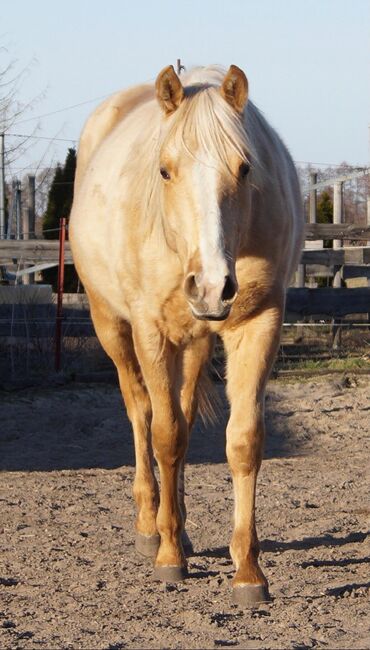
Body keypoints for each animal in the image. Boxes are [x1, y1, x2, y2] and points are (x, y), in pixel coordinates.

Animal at [70, 64, 304, 604]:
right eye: (164, 170)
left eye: (244, 168)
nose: (213, 285)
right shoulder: (151, 332)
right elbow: (165, 434)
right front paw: (169, 556)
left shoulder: (259, 324)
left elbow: (241, 440)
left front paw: (248, 572)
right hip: (113, 328)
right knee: (143, 415)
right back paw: (150, 526)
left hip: (195, 342)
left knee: (181, 413)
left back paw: (177, 524)